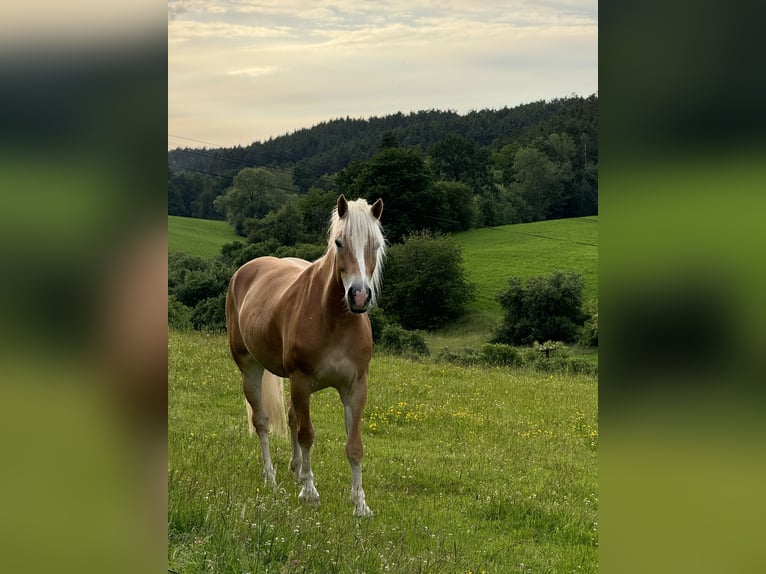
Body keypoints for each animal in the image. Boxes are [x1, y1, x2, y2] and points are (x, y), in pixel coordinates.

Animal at [225, 195, 388, 516]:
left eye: (375, 244)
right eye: (339, 242)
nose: (359, 296)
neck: (335, 321)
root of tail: (246, 269)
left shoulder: (355, 387)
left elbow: (354, 445)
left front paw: (360, 503)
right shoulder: (301, 381)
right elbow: (307, 434)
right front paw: (310, 493)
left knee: (290, 417)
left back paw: (296, 470)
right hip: (250, 368)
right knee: (262, 421)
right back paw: (271, 476)